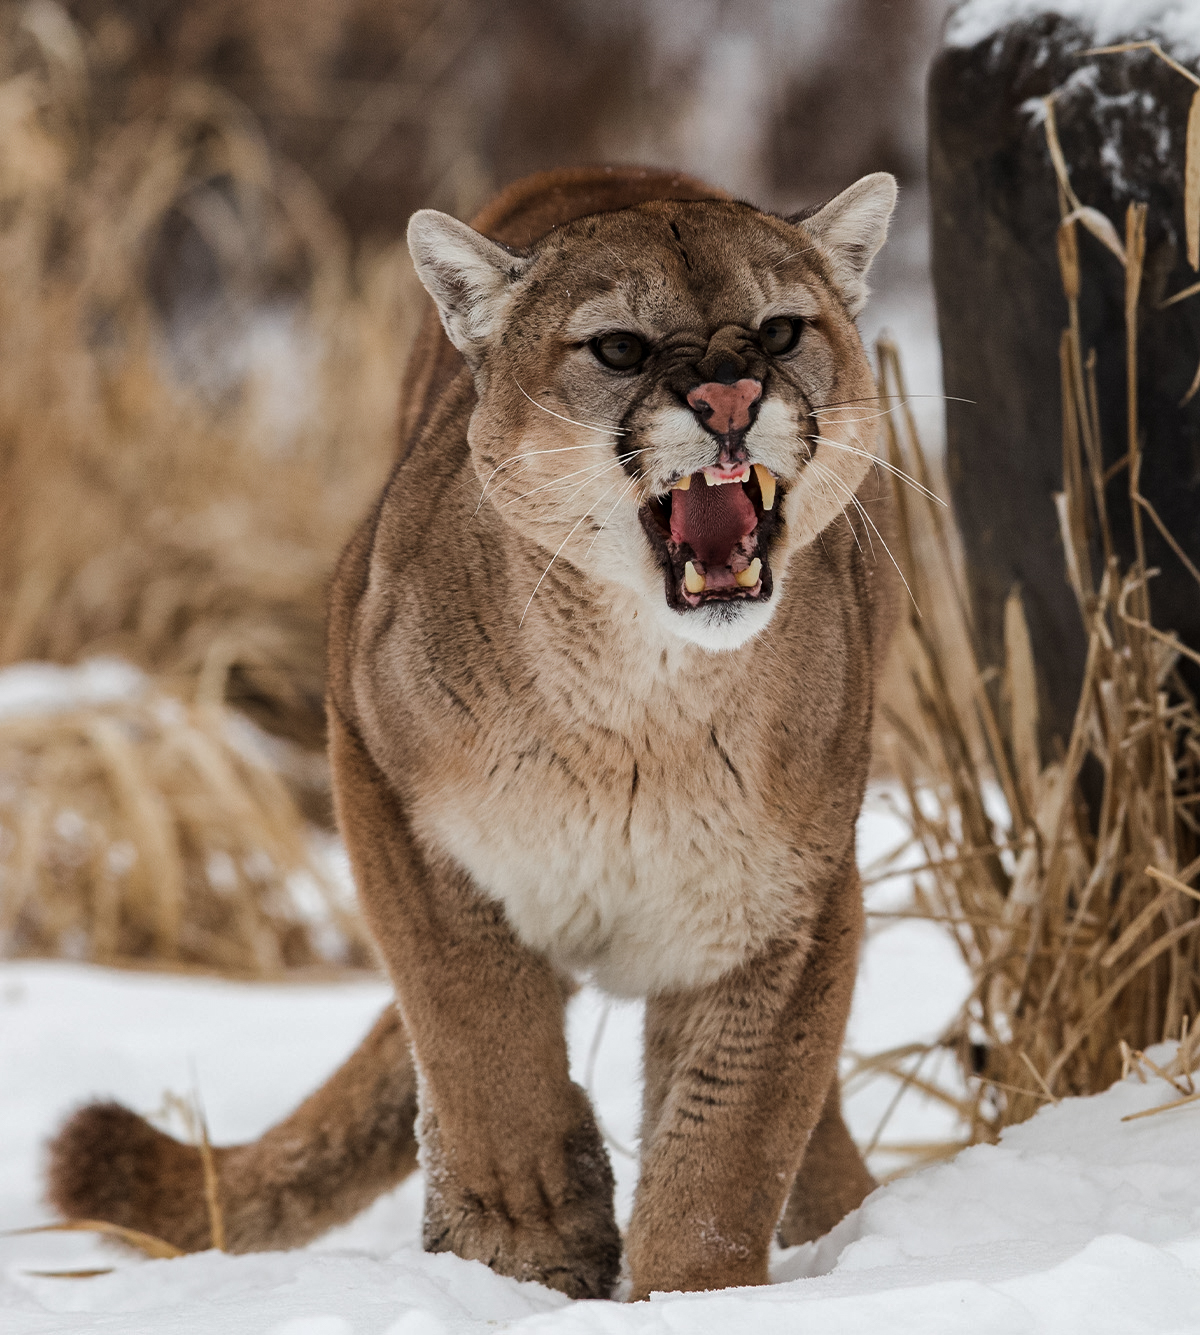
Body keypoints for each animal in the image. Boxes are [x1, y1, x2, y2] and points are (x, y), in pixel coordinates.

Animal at [49, 166, 902, 1302]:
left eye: (778, 330)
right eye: (620, 347)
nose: (729, 399)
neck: (640, 709)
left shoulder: (794, 902)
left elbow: (732, 1139)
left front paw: (692, 1295)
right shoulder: (384, 793)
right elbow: (480, 1038)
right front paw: (527, 1244)